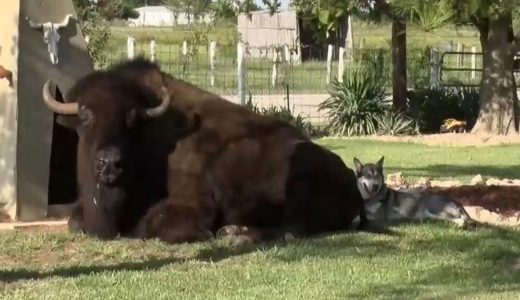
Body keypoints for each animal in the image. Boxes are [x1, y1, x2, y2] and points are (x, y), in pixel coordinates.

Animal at [44, 57, 370, 245]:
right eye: (85, 116)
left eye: (133, 119)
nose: (110, 164)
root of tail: (349, 177)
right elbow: (74, 222)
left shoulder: (193, 206)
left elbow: (152, 224)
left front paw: (208, 233)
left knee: (290, 228)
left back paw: (237, 236)